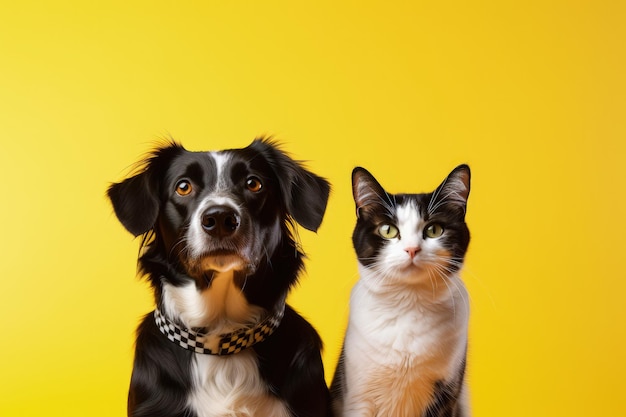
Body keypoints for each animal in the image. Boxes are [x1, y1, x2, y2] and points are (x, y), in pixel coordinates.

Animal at [330, 164, 470, 414]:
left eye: (434, 230)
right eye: (387, 230)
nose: (412, 249)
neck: (409, 302)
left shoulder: (447, 396)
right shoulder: (358, 397)